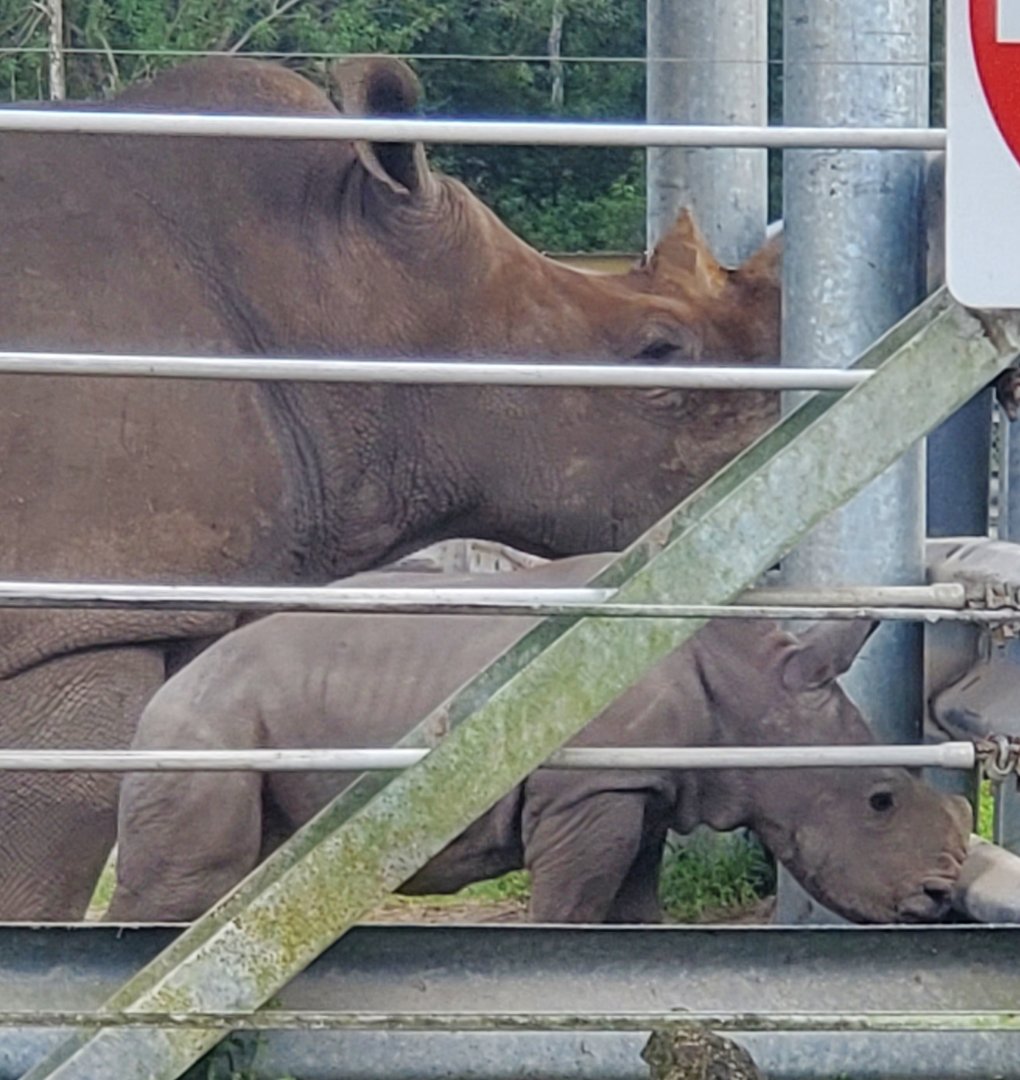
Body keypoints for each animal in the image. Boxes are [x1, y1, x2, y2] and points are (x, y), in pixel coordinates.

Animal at [108, 555, 972, 924]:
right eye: (881, 801)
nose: (940, 896)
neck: (748, 683)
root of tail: (169, 687)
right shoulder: (587, 790)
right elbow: (571, 908)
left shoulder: (639, 787)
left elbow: (633, 912)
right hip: (206, 726)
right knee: (191, 882)